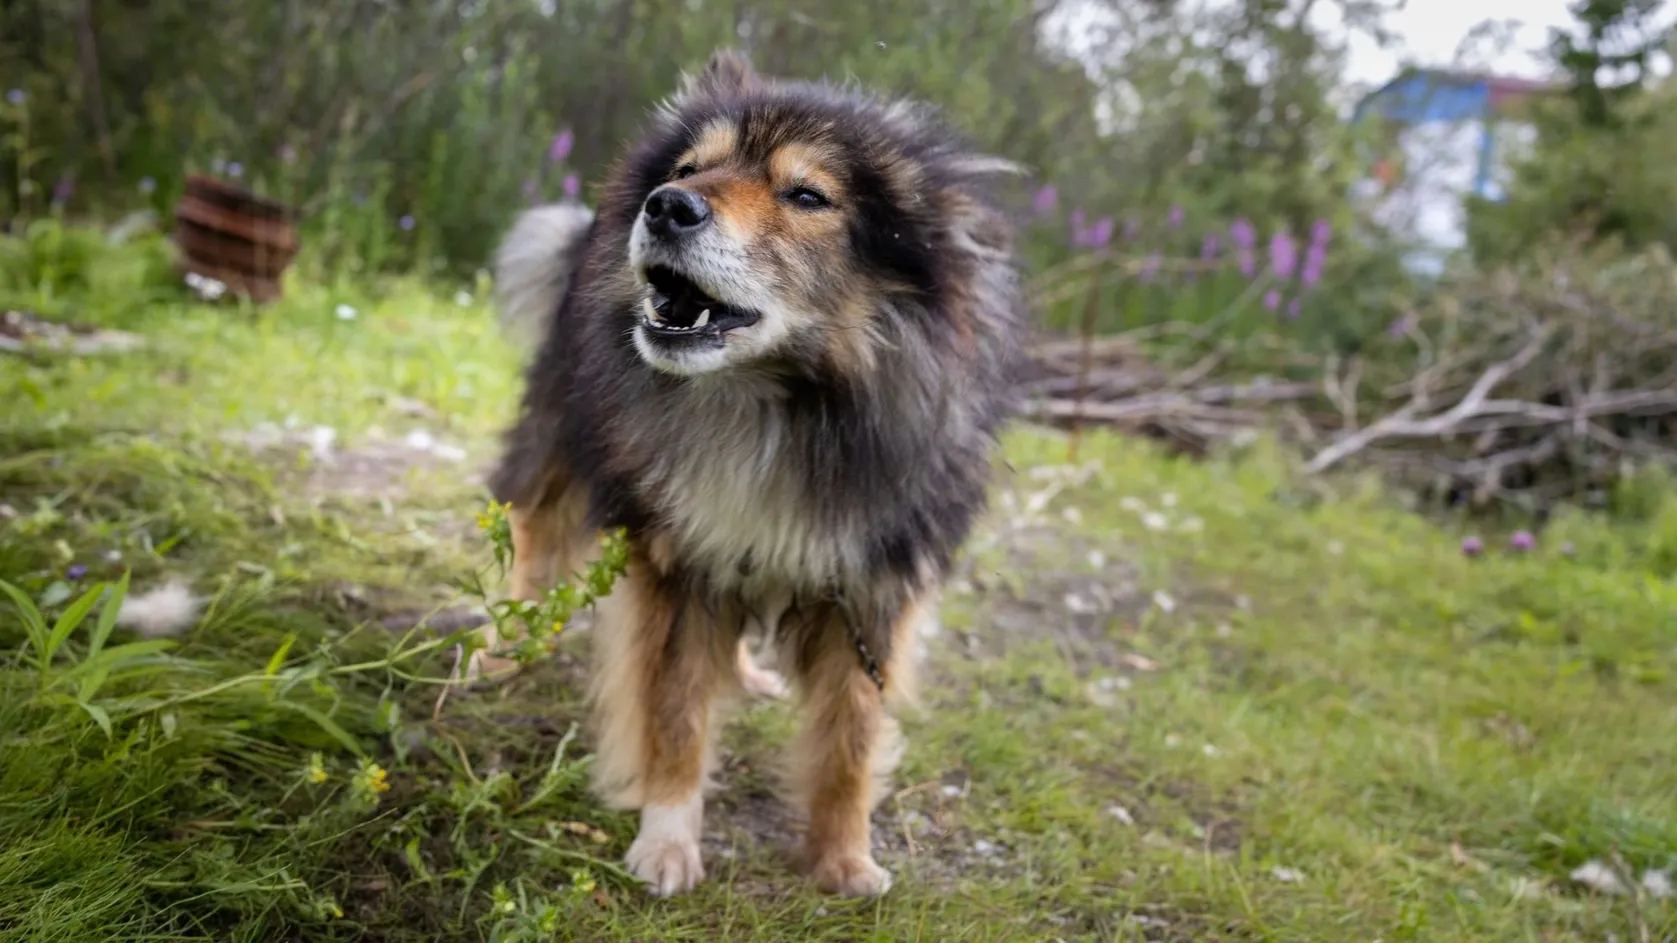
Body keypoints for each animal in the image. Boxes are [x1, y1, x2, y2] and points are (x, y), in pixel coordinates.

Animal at [476, 49, 1019, 892]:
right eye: (689, 169)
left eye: (807, 195)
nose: (666, 206)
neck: (780, 408)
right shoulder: (680, 567)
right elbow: (674, 712)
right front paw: (667, 838)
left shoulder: (868, 586)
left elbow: (851, 736)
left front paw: (844, 857)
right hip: (560, 436)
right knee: (531, 534)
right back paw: (500, 651)